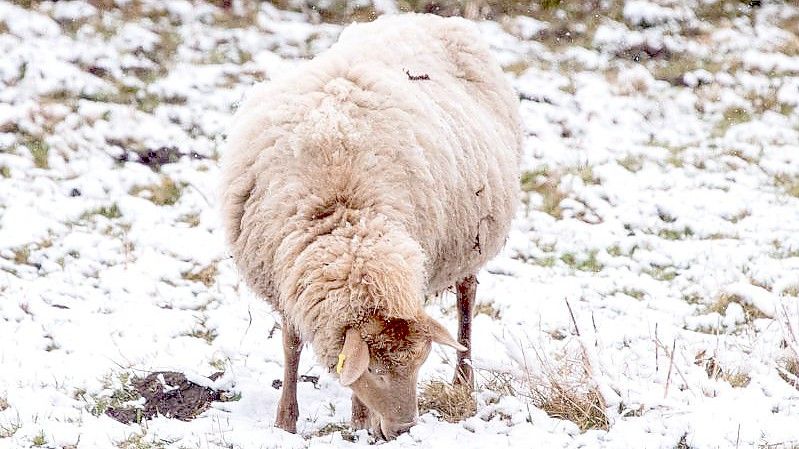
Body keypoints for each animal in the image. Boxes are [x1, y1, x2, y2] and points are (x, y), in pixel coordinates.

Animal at [220, 13, 520, 438]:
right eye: (375, 370)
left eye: (419, 363)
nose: (405, 429)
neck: (345, 215)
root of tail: (431, 17)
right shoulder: (286, 278)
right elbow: (291, 346)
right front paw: (285, 421)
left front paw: (360, 421)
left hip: (472, 236)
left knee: (466, 299)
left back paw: (464, 381)